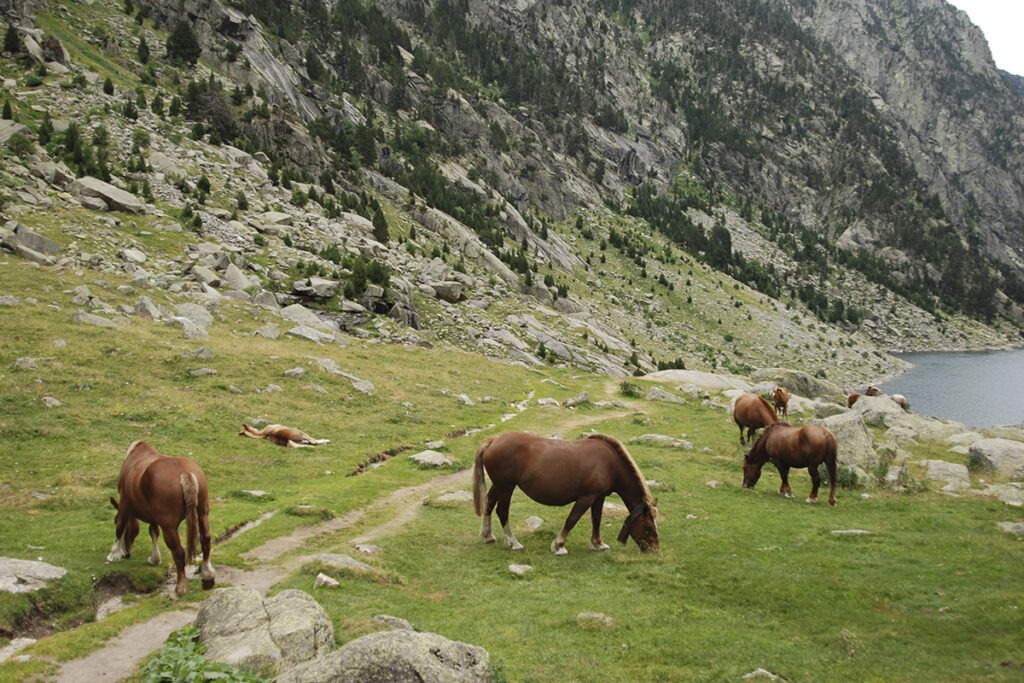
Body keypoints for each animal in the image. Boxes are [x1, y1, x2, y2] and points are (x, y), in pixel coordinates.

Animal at [107, 440, 215, 593]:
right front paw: (155, 558)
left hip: (169, 526)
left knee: (179, 552)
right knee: (205, 539)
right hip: (202, 514)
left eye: (114, 520)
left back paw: (180, 589)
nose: (127, 553)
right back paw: (207, 575)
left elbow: (120, 527)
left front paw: (114, 554)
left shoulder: (124, 504)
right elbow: (153, 531)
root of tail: (184, 473)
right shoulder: (154, 515)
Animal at [468, 432, 655, 557]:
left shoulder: (599, 497)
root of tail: (493, 441)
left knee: (489, 505)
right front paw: (559, 546)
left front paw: (598, 544)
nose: (654, 549)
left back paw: (488, 536)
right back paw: (513, 542)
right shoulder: (586, 497)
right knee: (502, 511)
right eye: (648, 527)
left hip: (500, 486)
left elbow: (596, 519)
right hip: (506, 487)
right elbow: (572, 520)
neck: (609, 463)